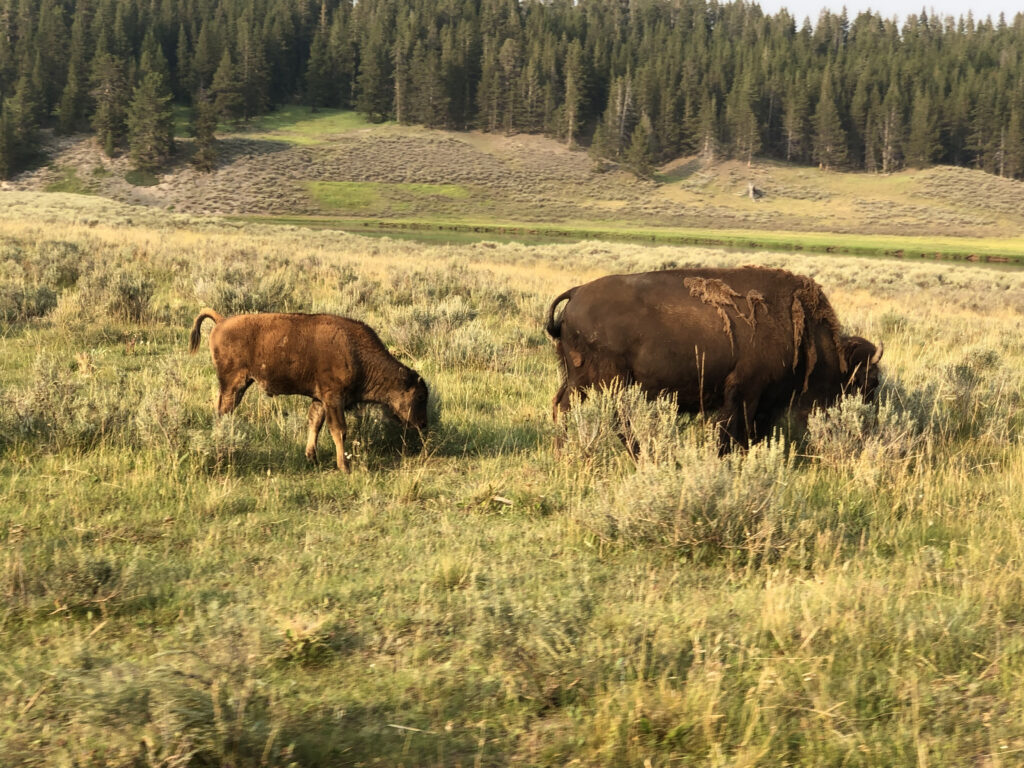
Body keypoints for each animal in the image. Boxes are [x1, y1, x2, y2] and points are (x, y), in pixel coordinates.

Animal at [189, 309, 428, 473]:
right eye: (419, 396)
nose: (423, 424)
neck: (356, 352)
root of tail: (222, 321)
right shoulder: (333, 398)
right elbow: (338, 430)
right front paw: (344, 466)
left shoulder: (319, 399)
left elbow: (315, 424)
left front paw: (312, 458)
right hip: (233, 385)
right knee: (222, 412)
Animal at [548, 268, 884, 454]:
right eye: (870, 381)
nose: (868, 424)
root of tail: (576, 293)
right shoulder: (745, 392)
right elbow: (735, 430)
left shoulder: (765, 400)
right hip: (604, 381)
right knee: (603, 416)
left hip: (578, 379)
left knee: (563, 405)